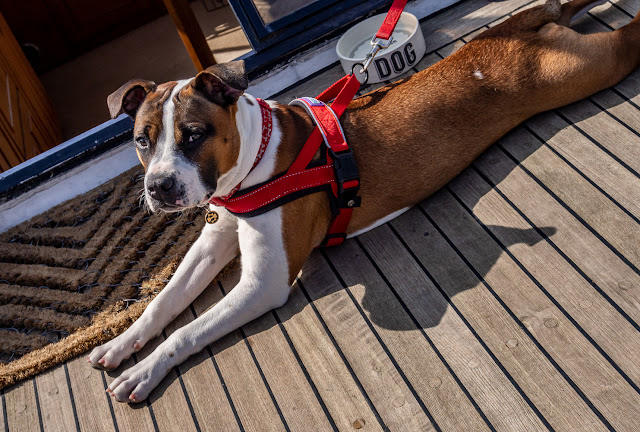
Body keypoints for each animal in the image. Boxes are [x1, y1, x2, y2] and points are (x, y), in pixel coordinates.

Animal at [89, 0, 640, 402]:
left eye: (194, 135)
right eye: (142, 141)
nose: (159, 187)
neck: (254, 160)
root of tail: (518, 28)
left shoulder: (263, 284)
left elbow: (189, 329)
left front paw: (146, 369)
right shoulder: (215, 237)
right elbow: (164, 302)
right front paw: (122, 343)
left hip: (589, 67)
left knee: (627, 40)